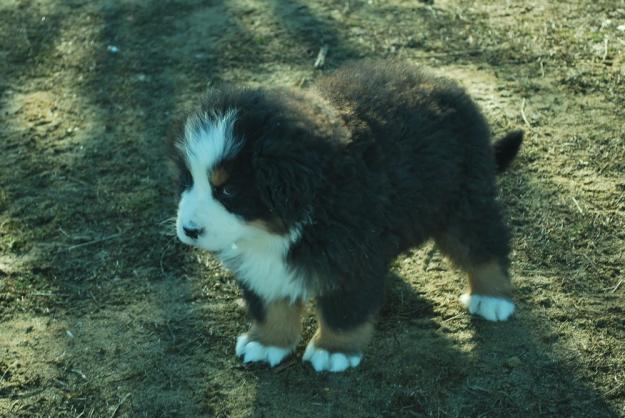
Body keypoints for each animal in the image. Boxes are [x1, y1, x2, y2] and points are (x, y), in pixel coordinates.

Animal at [169, 61, 520, 372]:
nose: (189, 230)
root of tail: (442, 82)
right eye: (187, 180)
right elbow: (269, 304)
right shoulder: (260, 261)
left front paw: (332, 350)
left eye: (228, 190)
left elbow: (344, 311)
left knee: (484, 244)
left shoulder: (352, 258)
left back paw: (492, 297)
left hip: (463, 200)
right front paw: (267, 342)